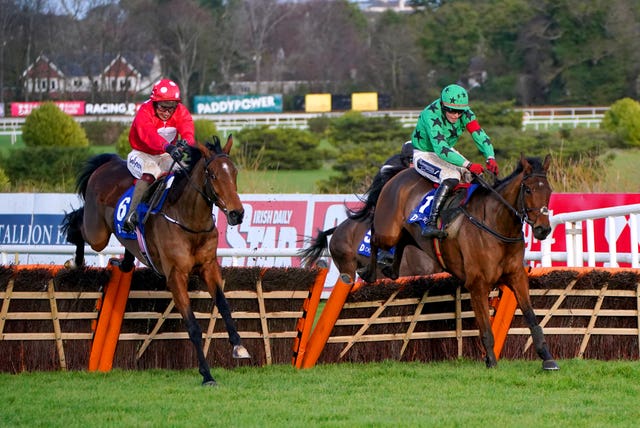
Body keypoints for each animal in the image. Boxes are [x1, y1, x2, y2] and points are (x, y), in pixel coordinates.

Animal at [60, 136, 250, 384]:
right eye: (213, 175)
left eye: (234, 173)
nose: (237, 213)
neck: (190, 221)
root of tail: (108, 162)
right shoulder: (175, 276)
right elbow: (193, 327)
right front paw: (207, 374)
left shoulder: (209, 268)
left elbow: (225, 306)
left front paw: (238, 346)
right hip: (97, 233)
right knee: (77, 225)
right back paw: (75, 261)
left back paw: (122, 262)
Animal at [362, 155, 556, 372]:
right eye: (528, 189)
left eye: (549, 191)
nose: (542, 230)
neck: (497, 224)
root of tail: (399, 174)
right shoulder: (477, 284)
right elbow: (486, 329)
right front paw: (491, 362)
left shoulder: (517, 277)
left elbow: (531, 317)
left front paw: (547, 358)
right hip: (388, 232)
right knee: (373, 237)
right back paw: (369, 271)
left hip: (404, 233)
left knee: (401, 243)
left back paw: (390, 267)